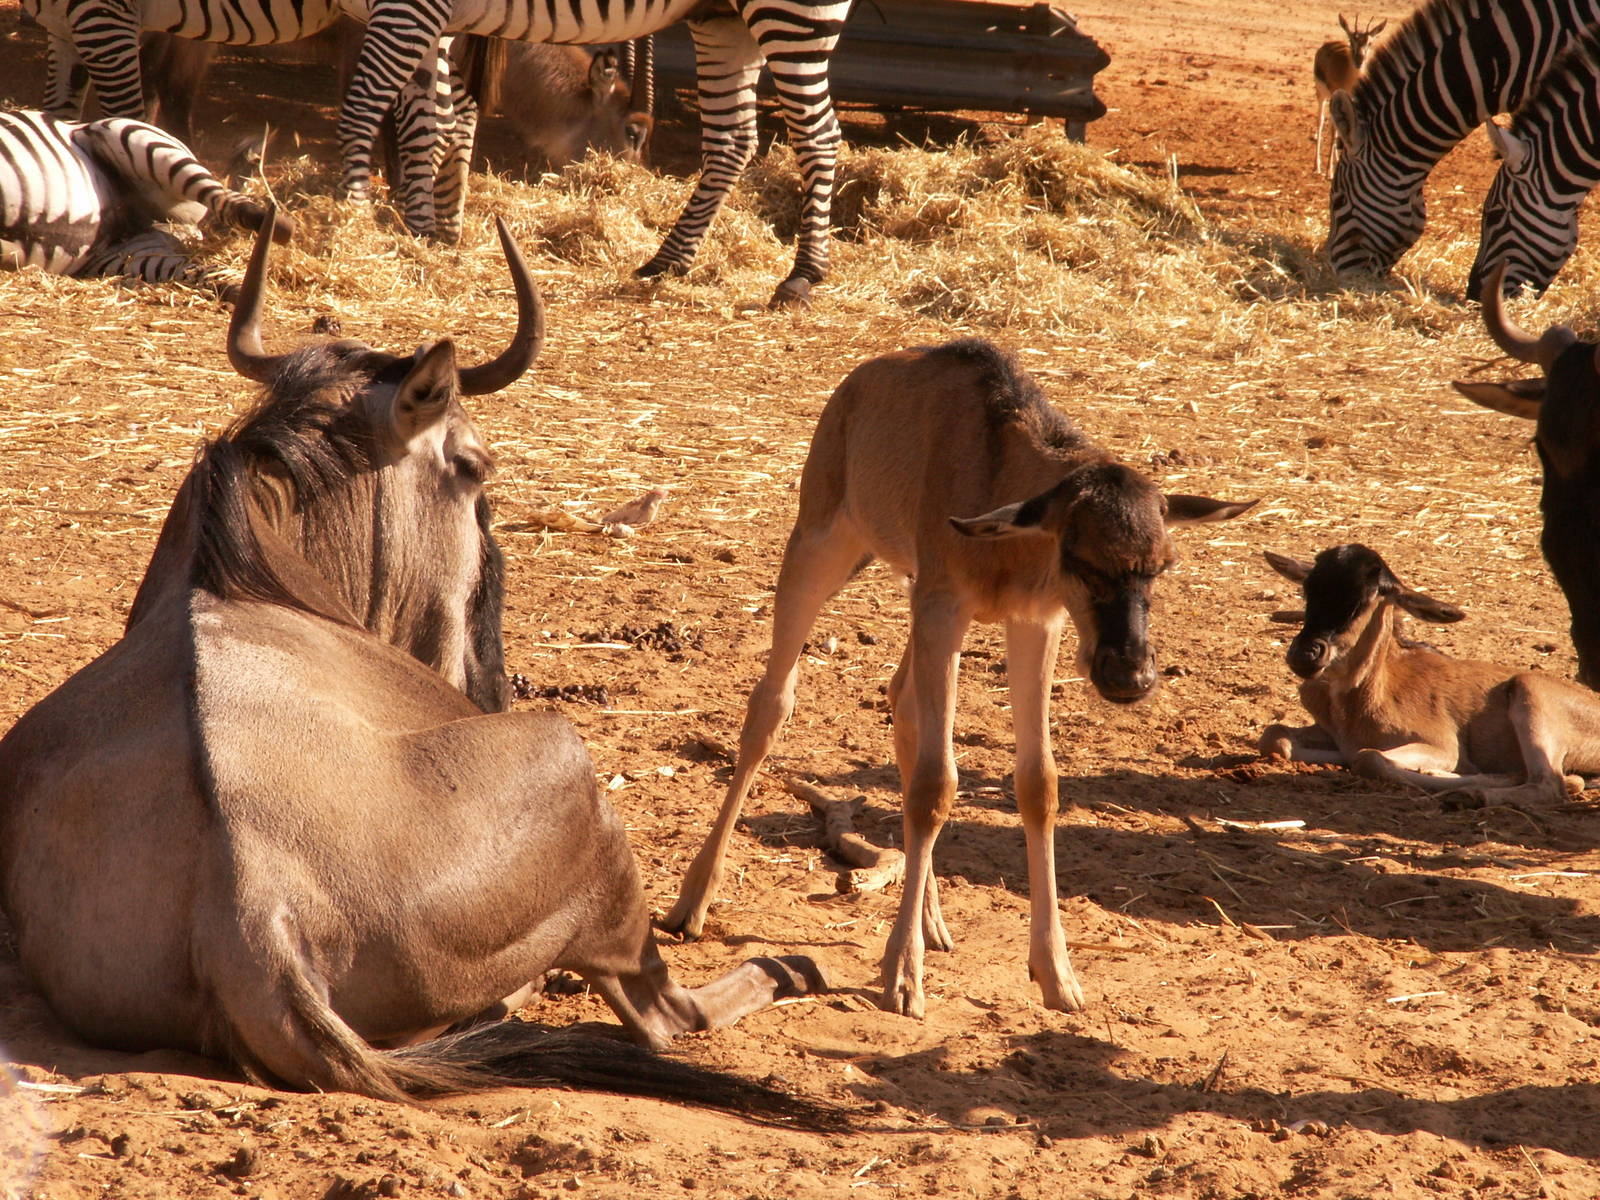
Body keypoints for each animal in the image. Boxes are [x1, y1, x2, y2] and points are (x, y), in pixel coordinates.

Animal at [0, 211, 831, 1121]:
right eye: (473, 466)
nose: (486, 674)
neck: (239, 564)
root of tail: (253, 912)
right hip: (569, 763)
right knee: (662, 1016)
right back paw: (790, 967)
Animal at [658, 339, 1255, 1017]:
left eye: (1161, 565)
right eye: (1081, 560)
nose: (1129, 674)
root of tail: (853, 387)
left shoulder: (1034, 620)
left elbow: (1037, 784)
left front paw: (1057, 974)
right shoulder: (945, 602)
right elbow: (936, 784)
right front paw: (902, 977)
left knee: (902, 701)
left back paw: (931, 920)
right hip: (822, 544)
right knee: (772, 705)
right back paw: (692, 902)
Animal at [1260, 544, 1600, 806]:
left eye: (1366, 599)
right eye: (1308, 590)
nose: (1305, 655)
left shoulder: (1442, 745)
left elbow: (1369, 757)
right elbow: (1273, 737)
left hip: (1531, 694)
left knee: (1548, 783)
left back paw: (1471, 793)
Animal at [1314, 14, 1386, 176]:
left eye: (1370, 42)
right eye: (1351, 40)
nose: (1359, 60)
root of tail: (1327, 44)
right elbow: (1333, 130)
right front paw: (1329, 172)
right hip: (1321, 95)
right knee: (1321, 122)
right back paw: (1318, 166)